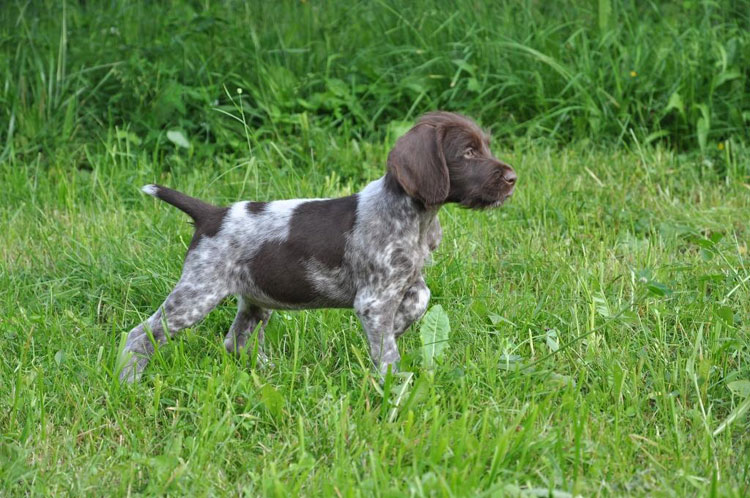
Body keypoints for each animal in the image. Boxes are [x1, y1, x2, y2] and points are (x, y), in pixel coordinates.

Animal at [119, 111, 517, 382]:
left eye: (485, 146)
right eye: (468, 153)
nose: (513, 178)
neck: (413, 215)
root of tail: (212, 214)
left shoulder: (405, 281)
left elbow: (420, 298)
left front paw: (401, 324)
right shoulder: (373, 300)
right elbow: (386, 350)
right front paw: (393, 383)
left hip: (255, 298)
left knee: (236, 342)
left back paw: (269, 371)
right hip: (197, 294)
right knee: (140, 335)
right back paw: (128, 381)